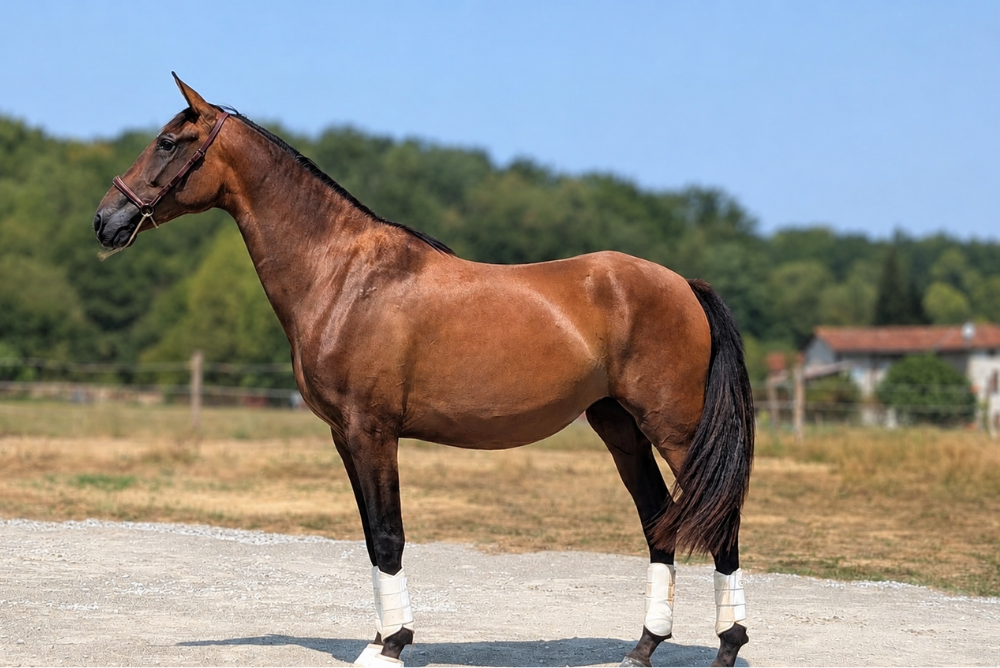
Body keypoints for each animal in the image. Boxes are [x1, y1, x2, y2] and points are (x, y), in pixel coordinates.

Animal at [93, 74, 754, 668]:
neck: (342, 277)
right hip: (619, 426)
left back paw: (728, 645)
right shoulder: (345, 436)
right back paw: (643, 648)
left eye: (168, 142)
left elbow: (389, 535)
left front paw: (391, 646)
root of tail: (684, 285)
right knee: (659, 524)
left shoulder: (372, 431)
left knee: (719, 522)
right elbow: (371, 536)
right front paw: (379, 641)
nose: (105, 220)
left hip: (676, 429)